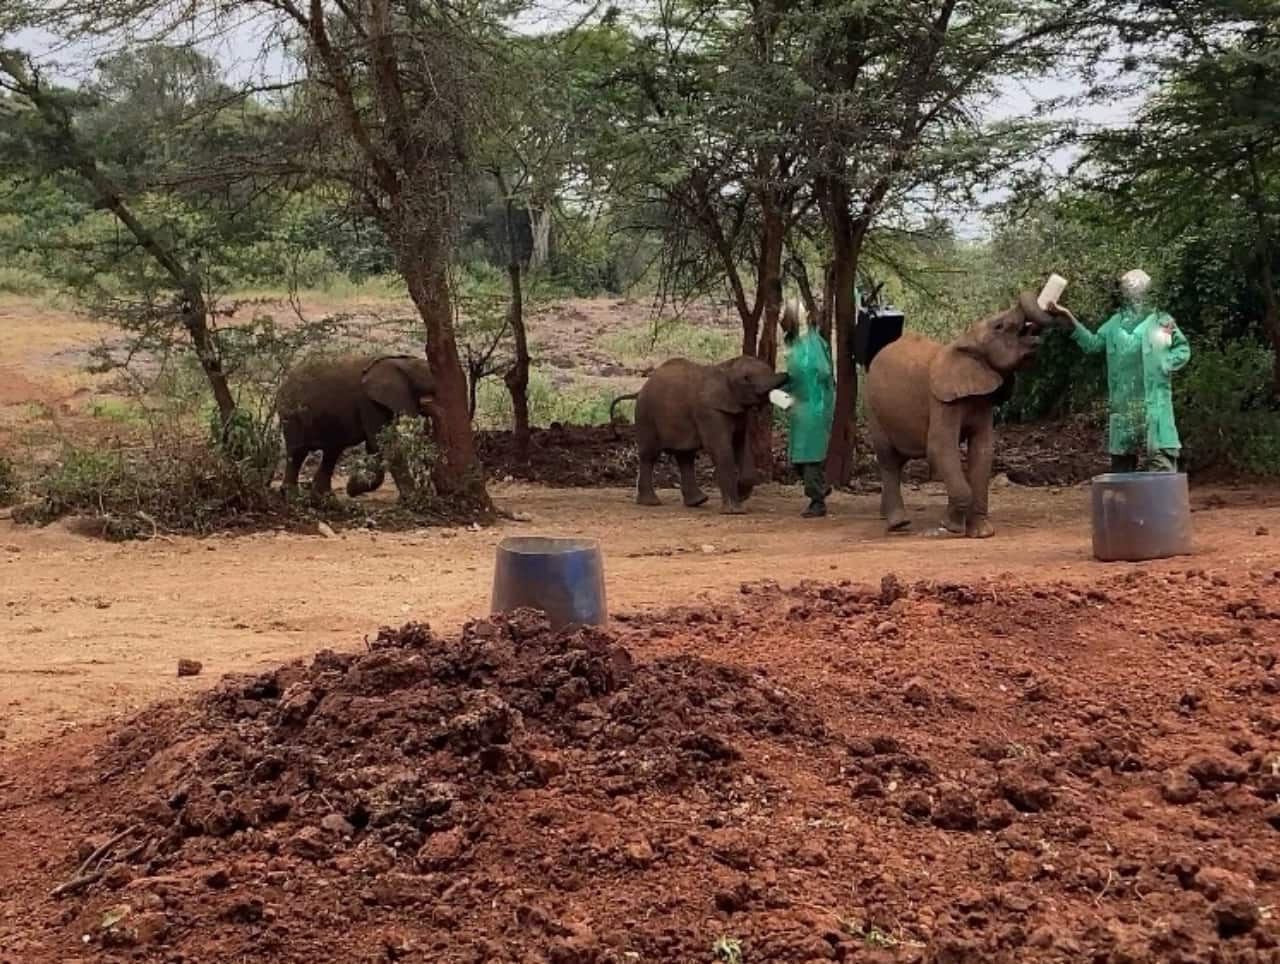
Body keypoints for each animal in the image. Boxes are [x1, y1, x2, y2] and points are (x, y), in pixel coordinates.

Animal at [276, 355, 440, 504]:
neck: (402, 362)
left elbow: (375, 446)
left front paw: (352, 486)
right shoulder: (369, 402)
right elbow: (383, 444)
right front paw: (414, 500)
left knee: (332, 452)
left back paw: (326, 501)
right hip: (292, 413)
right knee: (298, 452)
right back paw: (293, 498)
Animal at [611, 353, 788, 514]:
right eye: (746, 379)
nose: (787, 375)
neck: (725, 370)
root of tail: (639, 391)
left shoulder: (738, 412)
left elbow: (741, 444)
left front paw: (742, 494)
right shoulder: (709, 411)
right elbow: (719, 448)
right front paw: (734, 511)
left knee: (685, 456)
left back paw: (698, 502)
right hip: (646, 415)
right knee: (650, 455)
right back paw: (651, 503)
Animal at [865, 289, 1064, 537]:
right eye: (999, 326)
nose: (1051, 307)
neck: (965, 341)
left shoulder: (982, 399)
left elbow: (983, 449)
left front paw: (982, 533)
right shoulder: (941, 401)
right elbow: (940, 447)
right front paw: (951, 527)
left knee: (898, 460)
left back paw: (885, 516)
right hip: (873, 408)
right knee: (888, 458)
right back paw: (898, 524)